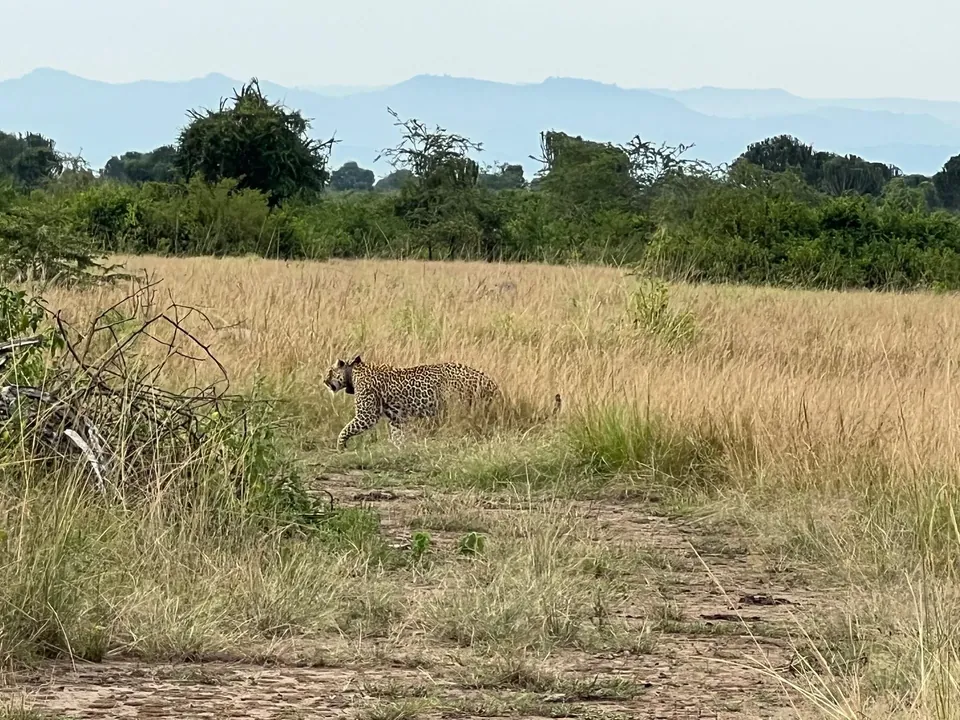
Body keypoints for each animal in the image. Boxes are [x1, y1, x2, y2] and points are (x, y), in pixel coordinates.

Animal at [324, 355, 507, 450]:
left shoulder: (366, 415)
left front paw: (340, 446)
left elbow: (347, 428)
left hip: (458, 409)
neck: (354, 373)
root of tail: (488, 380)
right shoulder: (397, 418)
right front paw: (399, 449)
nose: (324, 381)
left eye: (330, 371)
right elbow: (398, 435)